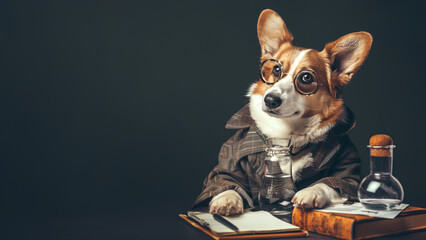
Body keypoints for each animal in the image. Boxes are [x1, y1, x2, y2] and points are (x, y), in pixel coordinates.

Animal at [208, 9, 372, 216]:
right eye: (276, 69)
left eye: (306, 77)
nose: (270, 100)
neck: (286, 133)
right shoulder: (229, 162)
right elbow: (225, 180)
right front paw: (226, 200)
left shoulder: (348, 173)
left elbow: (329, 183)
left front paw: (310, 193)